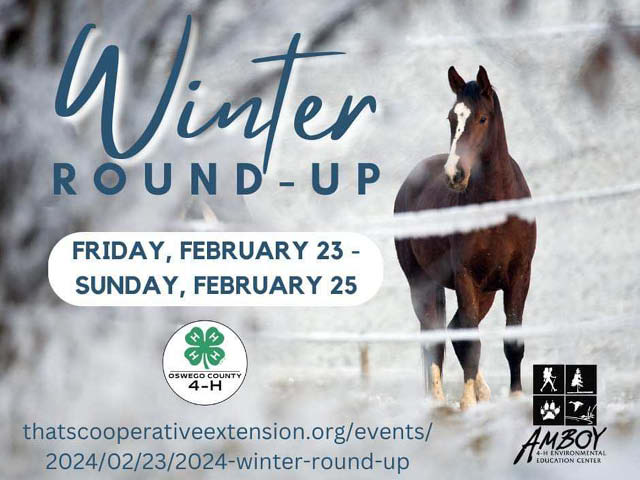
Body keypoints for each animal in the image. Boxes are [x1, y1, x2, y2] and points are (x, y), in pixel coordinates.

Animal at [394, 66, 536, 410]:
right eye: (451, 118)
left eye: (482, 118)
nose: (455, 174)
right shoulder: (465, 277)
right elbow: (470, 340)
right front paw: (467, 402)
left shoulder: (519, 276)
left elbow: (512, 339)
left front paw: (514, 396)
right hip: (422, 283)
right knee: (435, 335)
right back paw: (438, 399)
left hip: (485, 291)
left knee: (454, 328)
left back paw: (482, 391)